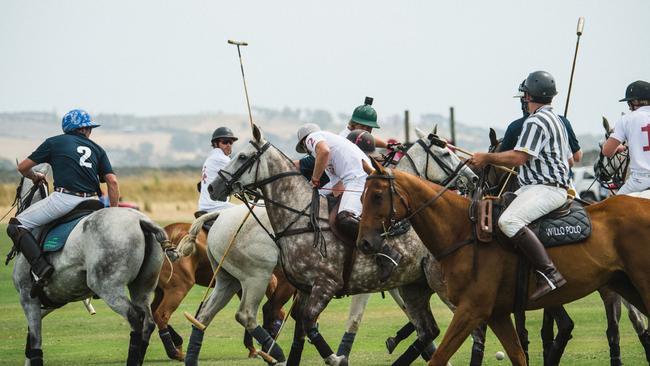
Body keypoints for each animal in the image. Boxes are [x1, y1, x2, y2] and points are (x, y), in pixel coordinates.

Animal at [151, 223, 290, 360]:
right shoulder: (266, 281)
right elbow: (277, 311)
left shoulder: (243, 285)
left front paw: (252, 348)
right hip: (179, 287)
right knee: (161, 314)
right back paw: (175, 352)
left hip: (160, 291)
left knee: (153, 313)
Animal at [356, 161, 648, 366]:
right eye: (361, 197)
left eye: (377, 196)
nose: (364, 243)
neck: (461, 233)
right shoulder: (496, 313)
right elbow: (518, 356)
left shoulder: (472, 309)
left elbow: (439, 357)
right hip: (623, 283)